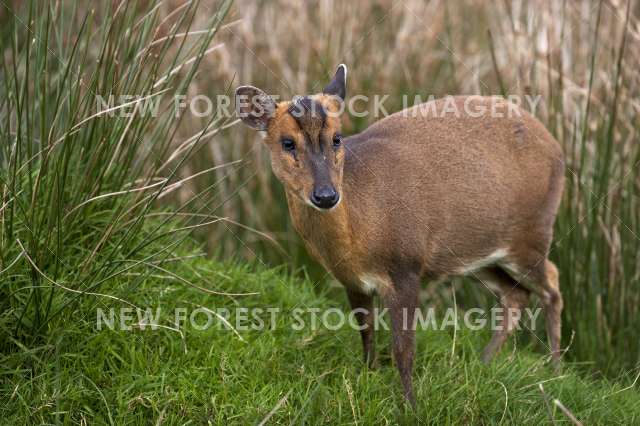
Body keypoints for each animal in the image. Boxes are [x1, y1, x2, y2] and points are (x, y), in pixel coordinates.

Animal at [235, 65, 564, 404]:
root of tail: (556, 145)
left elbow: (403, 350)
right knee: (516, 294)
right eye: (287, 143)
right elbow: (366, 332)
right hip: (476, 255)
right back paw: (482, 363)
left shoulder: (407, 265)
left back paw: (555, 370)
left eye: (337, 138)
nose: (326, 195)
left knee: (552, 281)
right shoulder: (351, 278)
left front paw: (410, 404)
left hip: (532, 232)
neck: (360, 232)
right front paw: (369, 376)